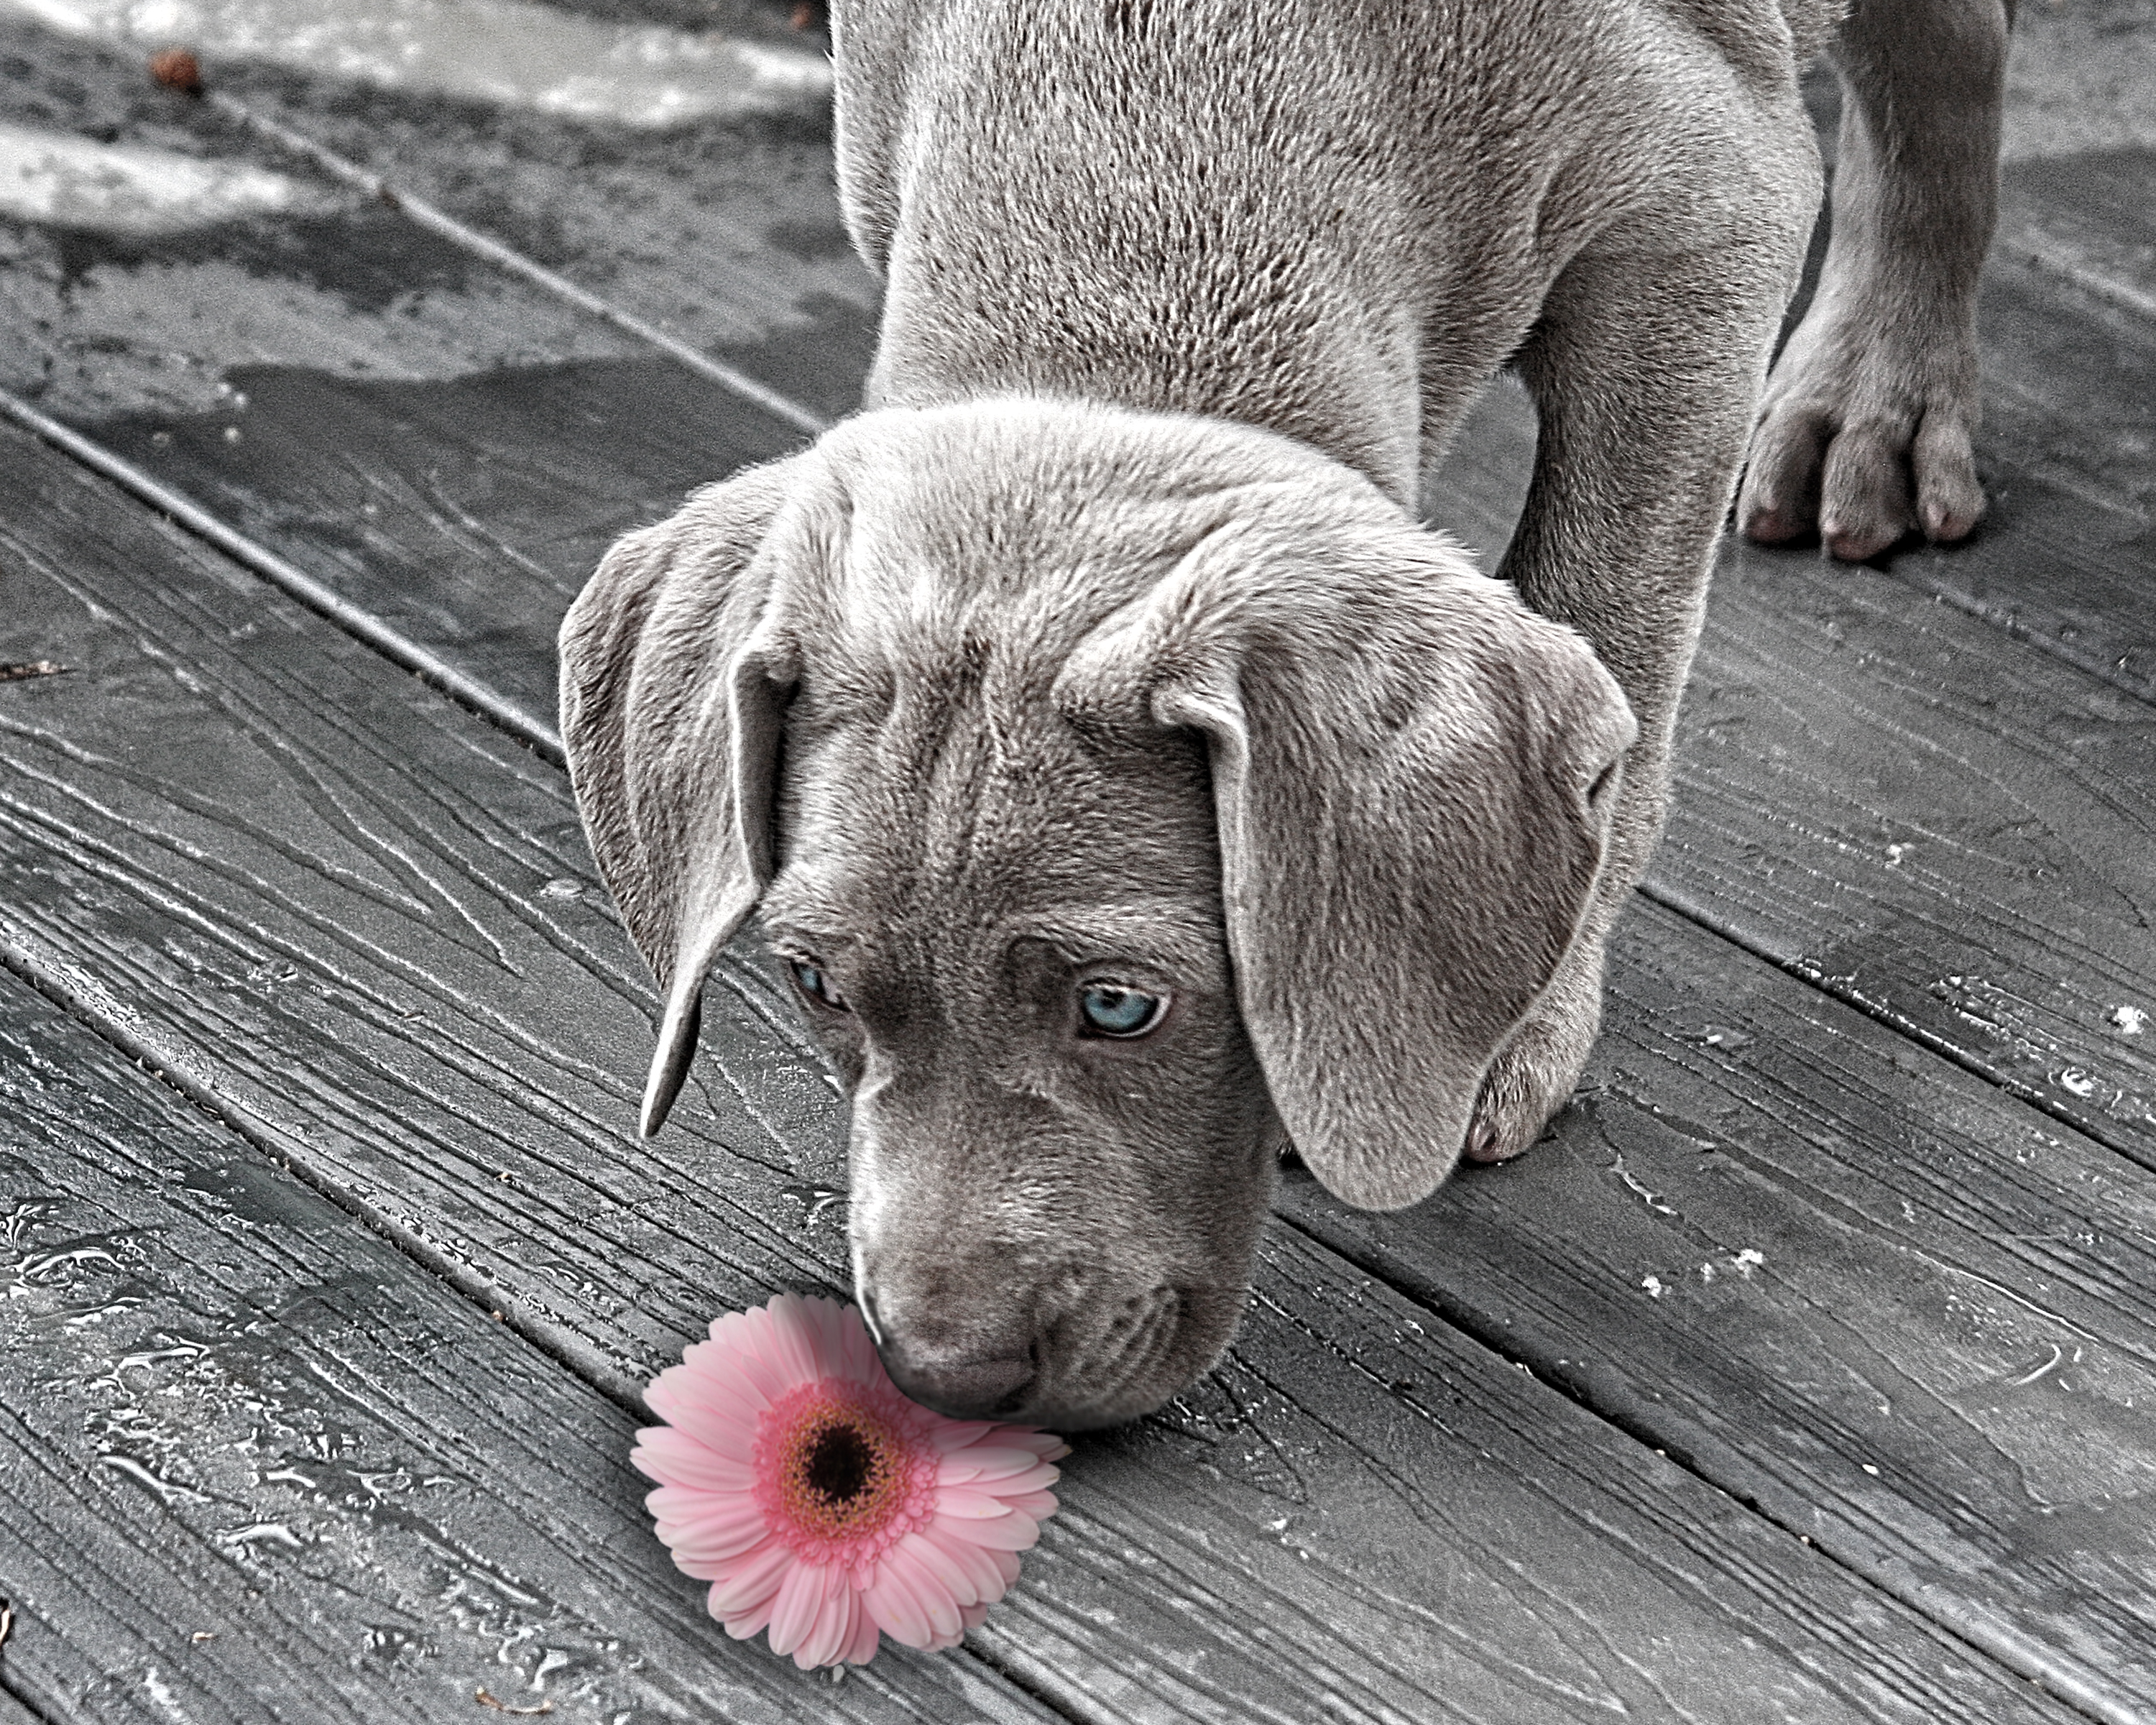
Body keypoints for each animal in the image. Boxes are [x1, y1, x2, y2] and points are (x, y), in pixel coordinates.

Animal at [556, 0, 2001, 1423]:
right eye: (813, 984)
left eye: (1121, 1007)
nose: (945, 1378)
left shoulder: (1705, 211)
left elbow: (1613, 611)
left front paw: (1516, 1028)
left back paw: (1877, 392)